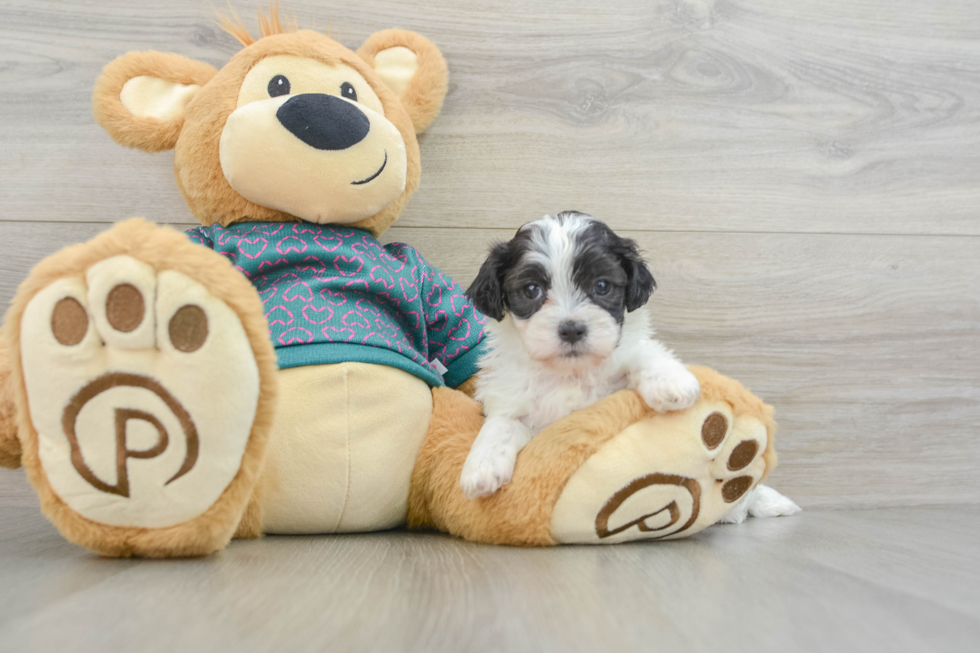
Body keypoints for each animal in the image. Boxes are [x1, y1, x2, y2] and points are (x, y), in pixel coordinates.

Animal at [458, 211, 696, 496]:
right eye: (531, 290)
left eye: (602, 285)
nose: (571, 330)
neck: (568, 374)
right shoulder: (513, 400)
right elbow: (501, 423)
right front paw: (481, 465)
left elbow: (642, 352)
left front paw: (670, 382)